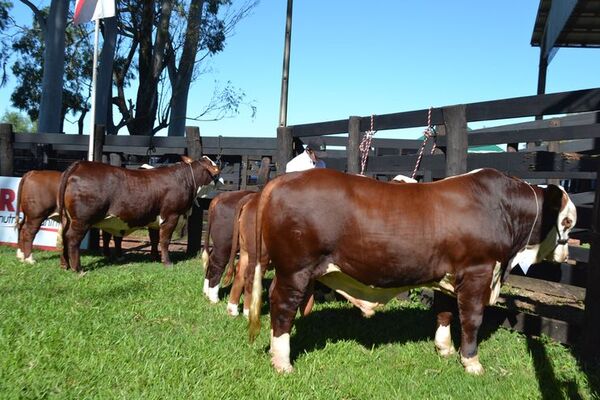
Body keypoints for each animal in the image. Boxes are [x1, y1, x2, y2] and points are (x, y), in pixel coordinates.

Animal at [56, 156, 218, 272]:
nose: (219, 179)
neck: (184, 178)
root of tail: (79, 165)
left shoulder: (154, 220)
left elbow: (154, 239)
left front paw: (155, 257)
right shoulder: (171, 216)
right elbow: (165, 240)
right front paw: (167, 262)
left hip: (67, 218)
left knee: (63, 236)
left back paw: (65, 264)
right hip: (82, 220)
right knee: (72, 239)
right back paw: (77, 269)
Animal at [248, 167, 576, 374]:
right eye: (568, 221)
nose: (567, 254)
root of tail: (282, 180)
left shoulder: (448, 273)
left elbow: (444, 311)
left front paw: (444, 348)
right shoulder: (477, 271)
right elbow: (472, 318)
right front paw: (471, 362)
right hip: (295, 269)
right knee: (282, 306)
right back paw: (283, 363)